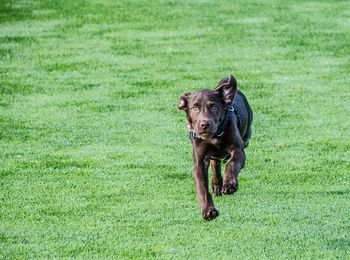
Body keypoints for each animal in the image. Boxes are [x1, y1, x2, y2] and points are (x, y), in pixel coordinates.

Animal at [176, 74, 253, 220]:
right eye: (195, 108)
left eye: (213, 107)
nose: (204, 124)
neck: (214, 137)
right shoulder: (199, 163)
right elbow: (202, 188)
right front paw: (208, 210)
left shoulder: (238, 150)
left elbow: (232, 164)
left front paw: (230, 184)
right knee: (215, 163)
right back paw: (217, 185)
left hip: (246, 137)